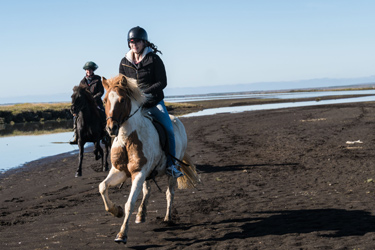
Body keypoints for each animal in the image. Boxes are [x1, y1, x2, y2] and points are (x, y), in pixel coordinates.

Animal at [98, 74, 201, 244]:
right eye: (105, 100)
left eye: (122, 100)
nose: (111, 128)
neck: (128, 139)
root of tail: (177, 120)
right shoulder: (120, 172)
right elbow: (102, 187)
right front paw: (116, 211)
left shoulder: (138, 173)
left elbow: (130, 202)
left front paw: (122, 234)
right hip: (147, 174)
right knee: (148, 190)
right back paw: (141, 214)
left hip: (171, 171)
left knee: (169, 193)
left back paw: (167, 218)